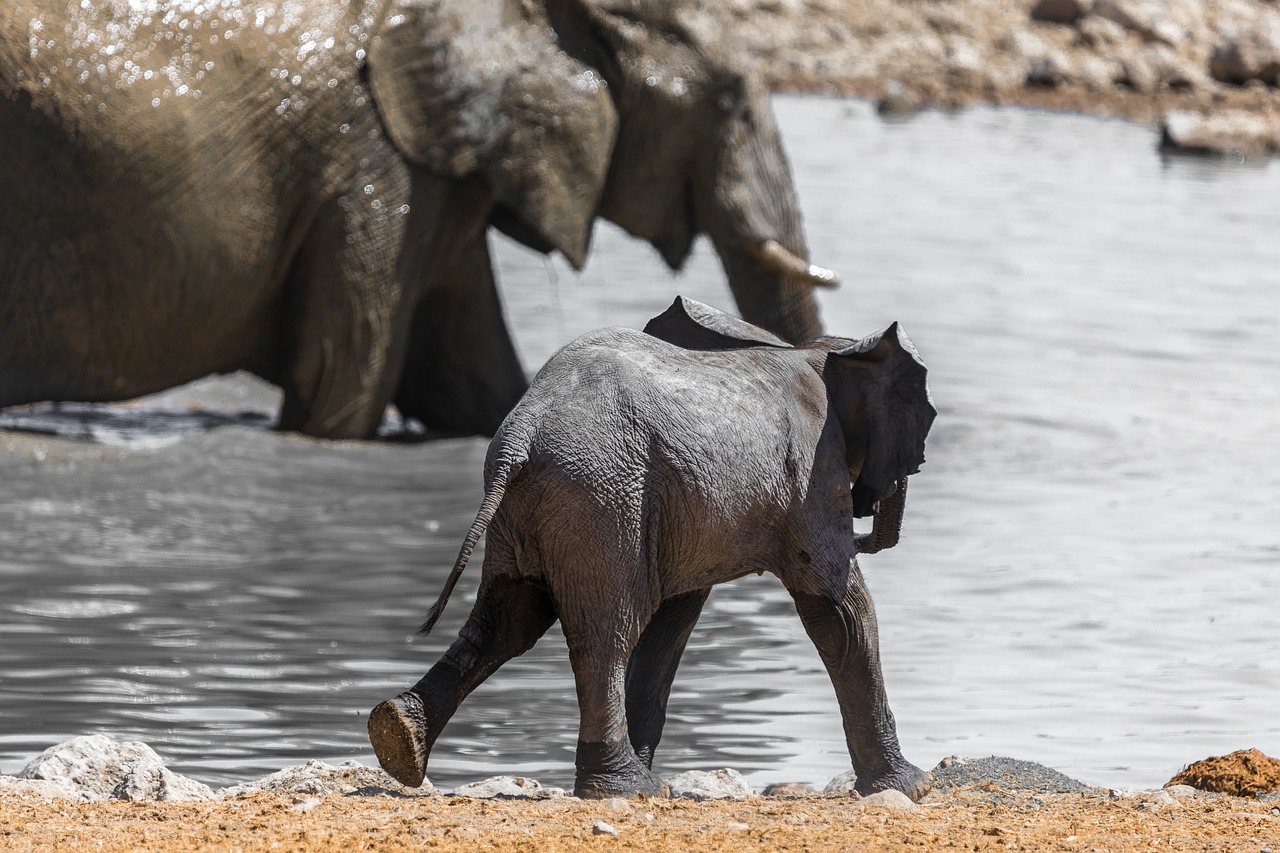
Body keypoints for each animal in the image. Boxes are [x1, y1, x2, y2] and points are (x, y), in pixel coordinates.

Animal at [366, 297, 936, 799]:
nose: (870, 516)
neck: (821, 352)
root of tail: (521, 434)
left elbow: (673, 620)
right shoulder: (813, 474)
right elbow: (839, 610)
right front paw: (912, 787)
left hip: (546, 509)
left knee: (507, 620)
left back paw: (398, 738)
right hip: (601, 496)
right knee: (605, 634)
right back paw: (626, 789)